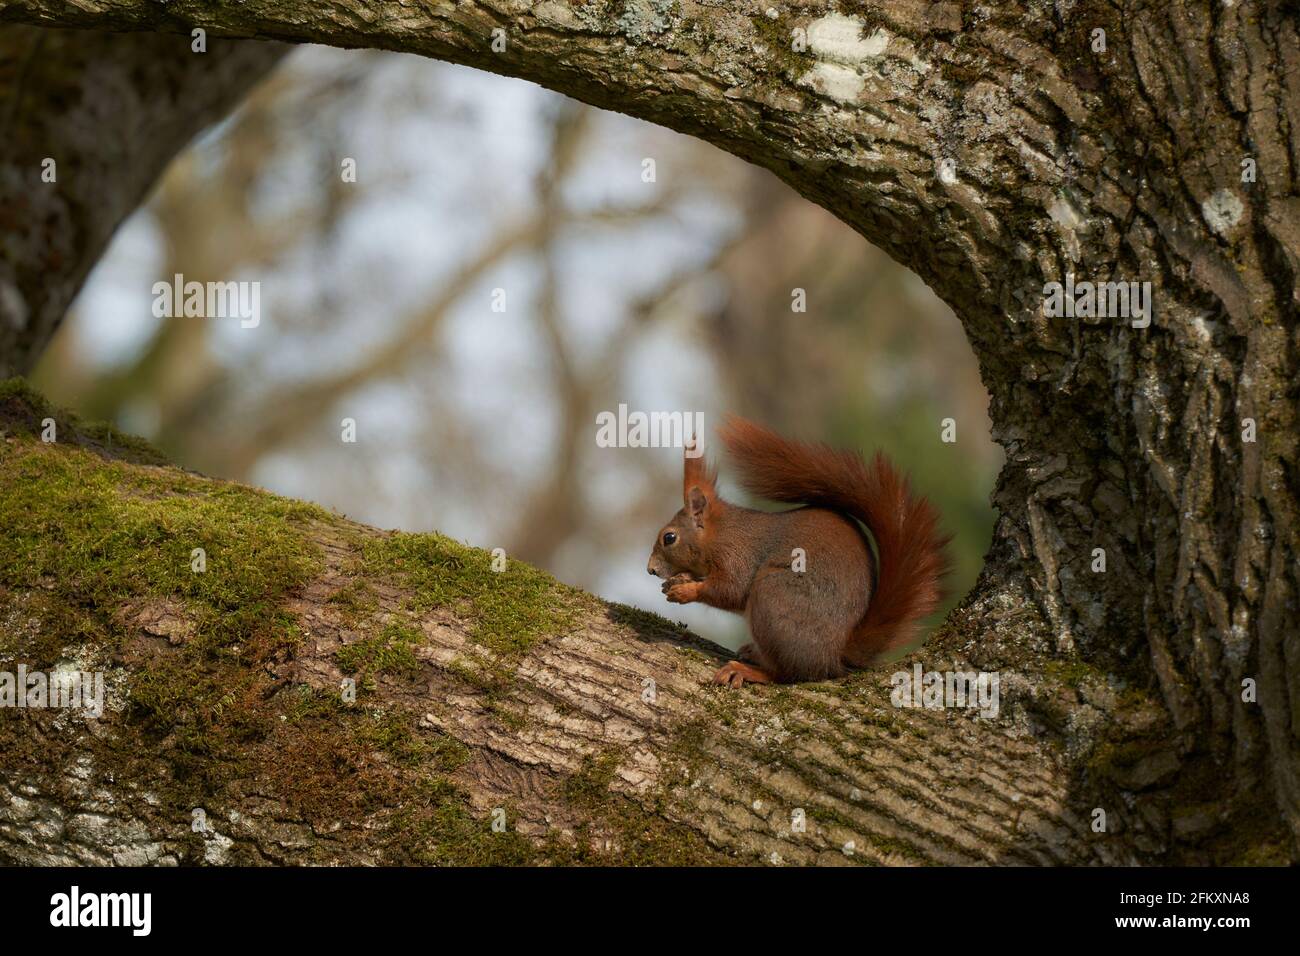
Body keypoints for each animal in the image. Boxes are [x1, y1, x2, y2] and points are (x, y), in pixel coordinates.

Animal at [644, 418, 951, 686]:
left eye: (669, 538)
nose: (650, 569)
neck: (720, 534)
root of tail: (834, 654)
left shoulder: (737, 556)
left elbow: (730, 590)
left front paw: (686, 591)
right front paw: (681, 579)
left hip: (773, 596)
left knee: (789, 674)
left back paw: (749, 670)